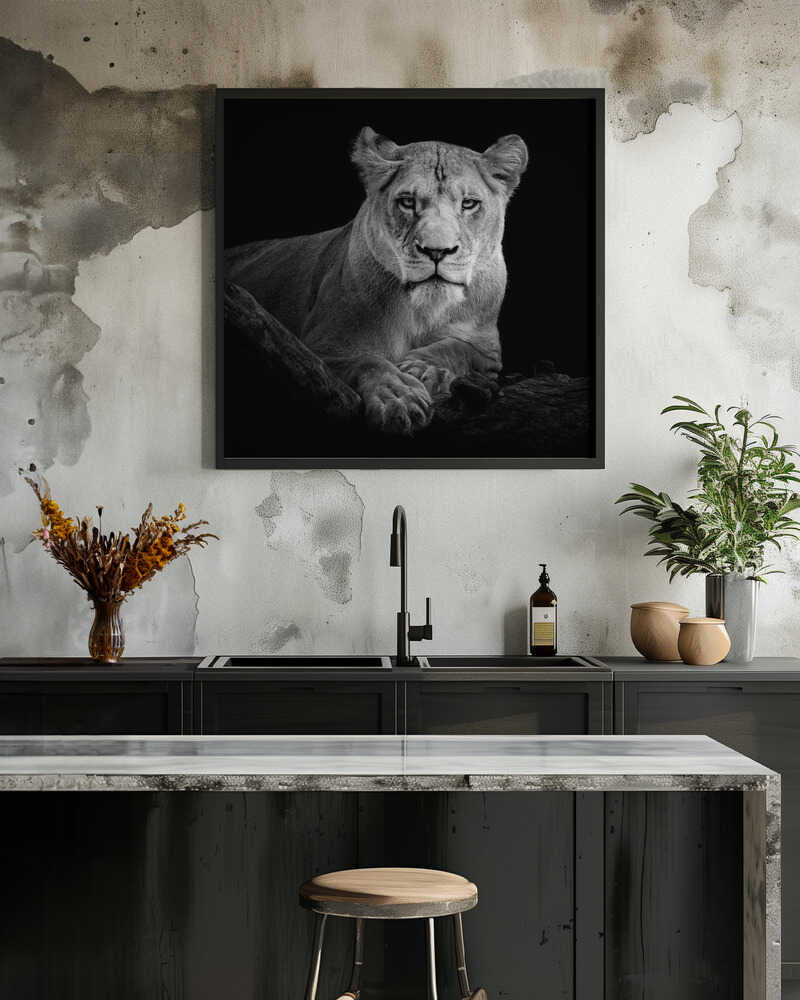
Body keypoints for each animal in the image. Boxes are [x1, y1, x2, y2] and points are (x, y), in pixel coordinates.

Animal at [225, 126, 528, 434]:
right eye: (407, 202)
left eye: (469, 204)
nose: (437, 251)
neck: (423, 311)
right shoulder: (319, 348)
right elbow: (368, 361)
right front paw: (399, 397)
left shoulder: (488, 350)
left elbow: (458, 347)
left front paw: (424, 368)